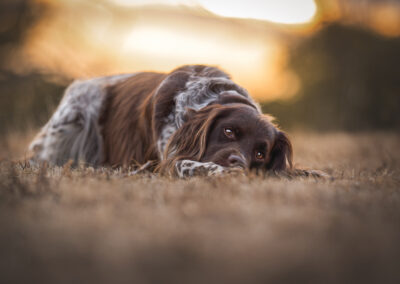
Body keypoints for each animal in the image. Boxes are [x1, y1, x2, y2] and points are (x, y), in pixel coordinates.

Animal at [27, 65, 290, 176]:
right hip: (74, 115)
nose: (237, 162)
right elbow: (192, 165)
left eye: (260, 154)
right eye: (228, 131)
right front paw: (223, 171)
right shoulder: (168, 161)